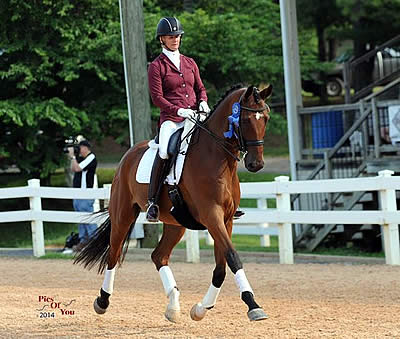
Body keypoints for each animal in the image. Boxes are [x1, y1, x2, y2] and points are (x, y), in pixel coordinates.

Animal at [74, 83, 272, 322]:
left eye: (266, 118)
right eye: (245, 120)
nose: (256, 164)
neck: (216, 158)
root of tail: (129, 155)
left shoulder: (226, 220)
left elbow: (221, 267)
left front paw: (200, 308)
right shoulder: (211, 215)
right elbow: (233, 257)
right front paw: (253, 305)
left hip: (176, 224)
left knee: (159, 256)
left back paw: (173, 306)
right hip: (123, 215)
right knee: (113, 254)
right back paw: (103, 301)